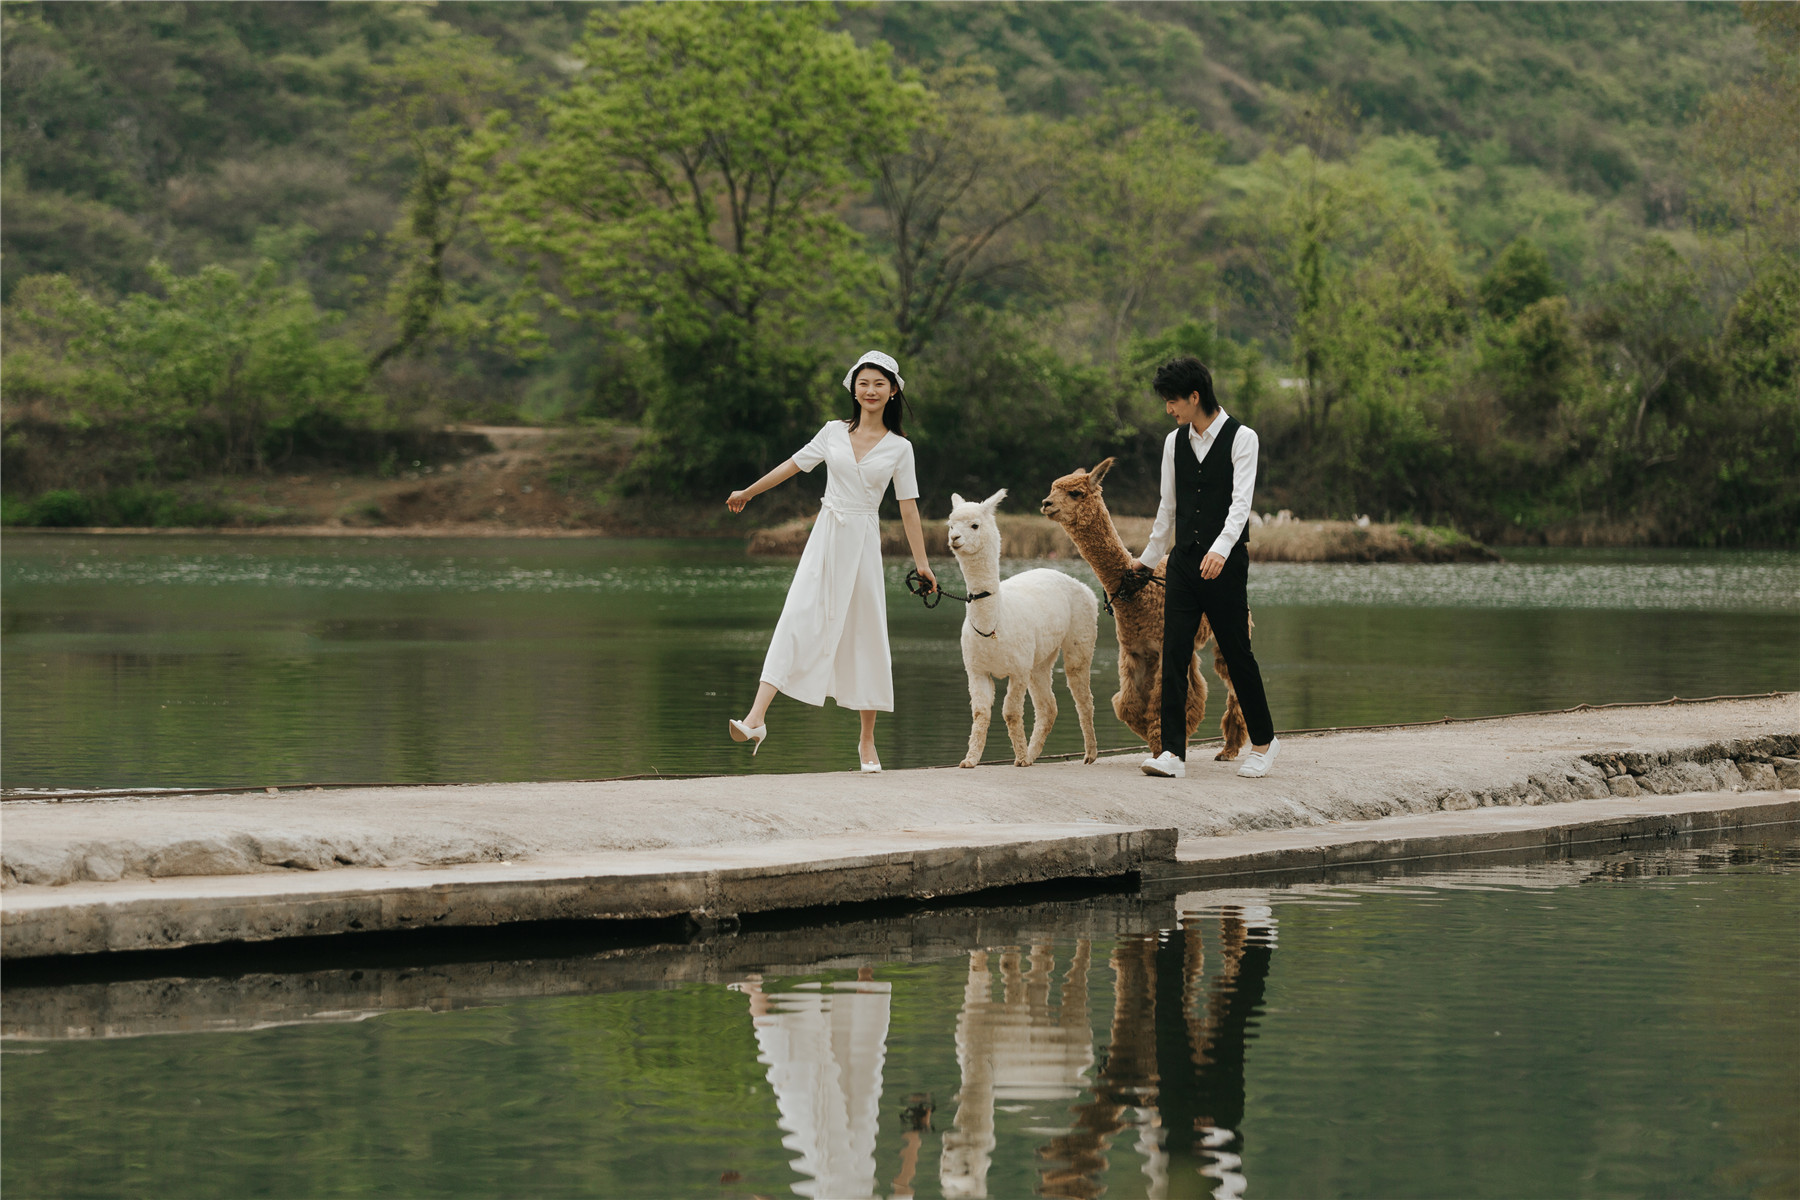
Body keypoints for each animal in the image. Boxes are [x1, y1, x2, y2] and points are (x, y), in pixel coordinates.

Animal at [944, 489, 1099, 768]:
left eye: (975, 525)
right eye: (950, 524)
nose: (954, 539)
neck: (994, 625)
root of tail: (1083, 586)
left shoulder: (1018, 670)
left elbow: (1011, 712)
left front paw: (1018, 757)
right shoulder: (977, 670)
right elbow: (980, 712)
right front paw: (970, 760)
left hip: (1080, 636)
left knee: (1083, 697)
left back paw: (1089, 754)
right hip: (1040, 659)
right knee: (1048, 707)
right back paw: (1033, 753)